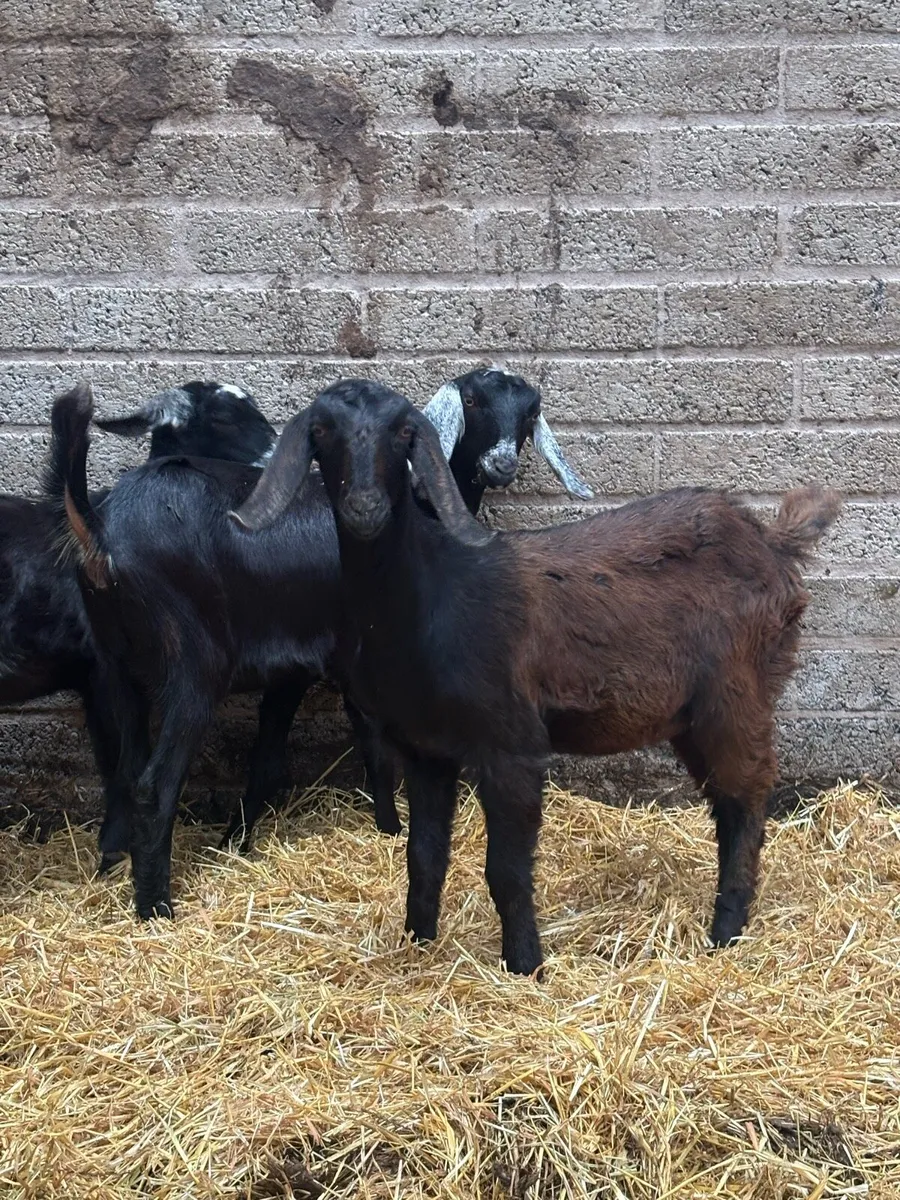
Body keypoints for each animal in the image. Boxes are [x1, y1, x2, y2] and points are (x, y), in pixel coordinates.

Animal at [48, 371, 589, 918]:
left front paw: (245, 842)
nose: (501, 463)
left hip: (118, 667)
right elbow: (359, 750)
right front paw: (388, 831)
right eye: (473, 400)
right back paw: (156, 907)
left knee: (124, 772)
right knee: (155, 785)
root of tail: (100, 534)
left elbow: (325, 749)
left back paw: (114, 867)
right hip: (192, 666)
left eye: (529, 412)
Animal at [233, 379, 842, 977]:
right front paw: (418, 947)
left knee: (748, 798)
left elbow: (505, 870)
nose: (364, 508)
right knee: (727, 799)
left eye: (404, 433)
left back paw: (725, 933)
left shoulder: (512, 745)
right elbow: (423, 857)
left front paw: (524, 967)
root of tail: (772, 542)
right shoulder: (426, 750)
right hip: (691, 715)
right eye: (321, 432)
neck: (434, 594)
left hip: (737, 693)